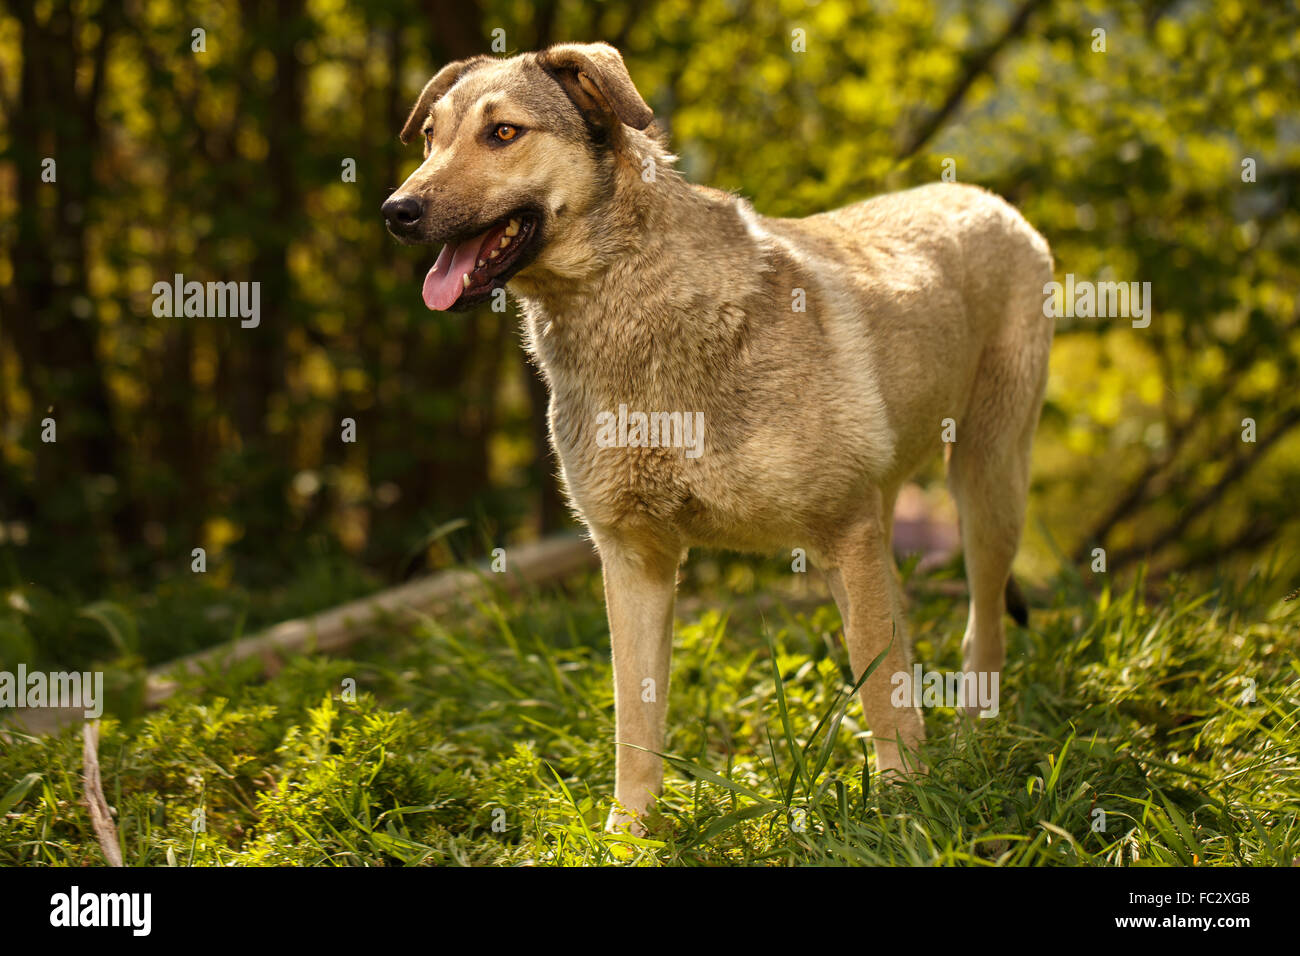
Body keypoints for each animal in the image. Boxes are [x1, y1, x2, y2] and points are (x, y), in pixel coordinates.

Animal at [379, 42, 1050, 832]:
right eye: (430, 139)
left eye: (503, 133)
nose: (395, 212)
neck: (628, 308)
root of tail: (988, 198)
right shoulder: (634, 558)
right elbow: (635, 722)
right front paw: (630, 835)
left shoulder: (843, 528)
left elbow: (882, 685)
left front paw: (903, 809)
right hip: (882, 520)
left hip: (984, 486)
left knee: (981, 628)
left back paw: (975, 746)